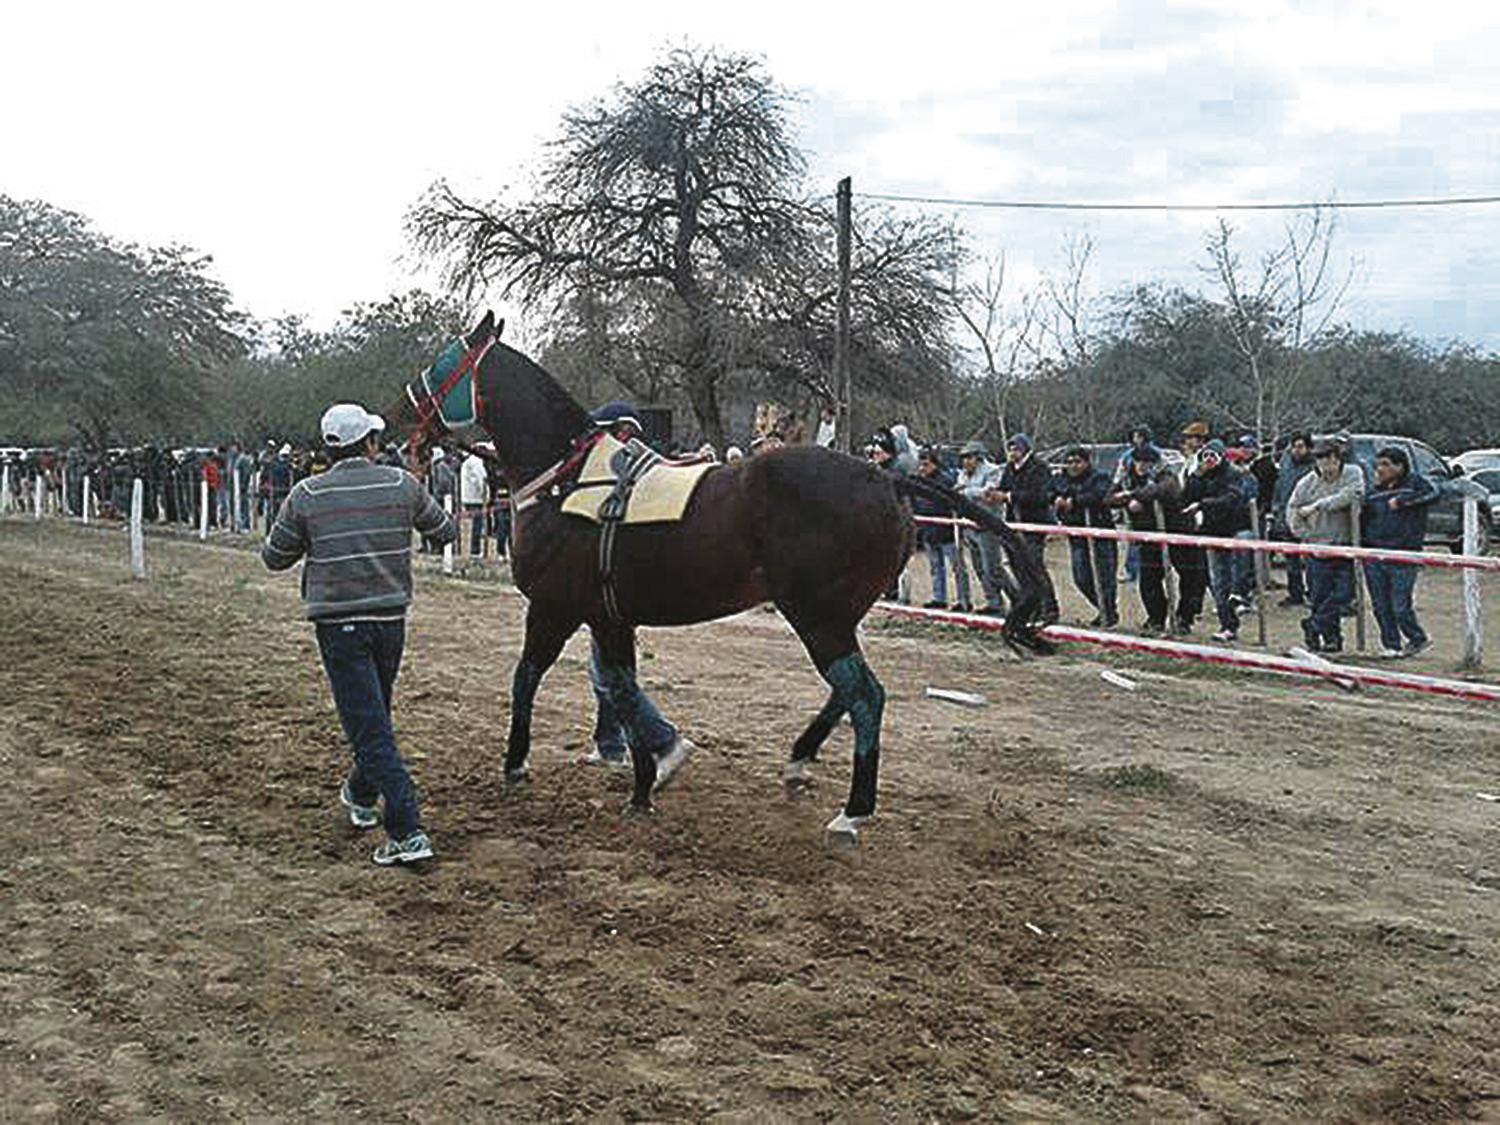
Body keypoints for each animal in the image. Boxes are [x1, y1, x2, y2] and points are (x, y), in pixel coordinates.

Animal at [399, 313, 1056, 840]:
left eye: (444, 361)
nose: (405, 418)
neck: (568, 480)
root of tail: (886, 477)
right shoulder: (610, 617)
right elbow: (622, 689)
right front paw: (646, 780)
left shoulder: (555, 608)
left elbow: (529, 678)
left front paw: (516, 763)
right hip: (834, 616)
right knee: (847, 692)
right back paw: (800, 757)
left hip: (818, 616)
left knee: (865, 694)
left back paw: (853, 809)